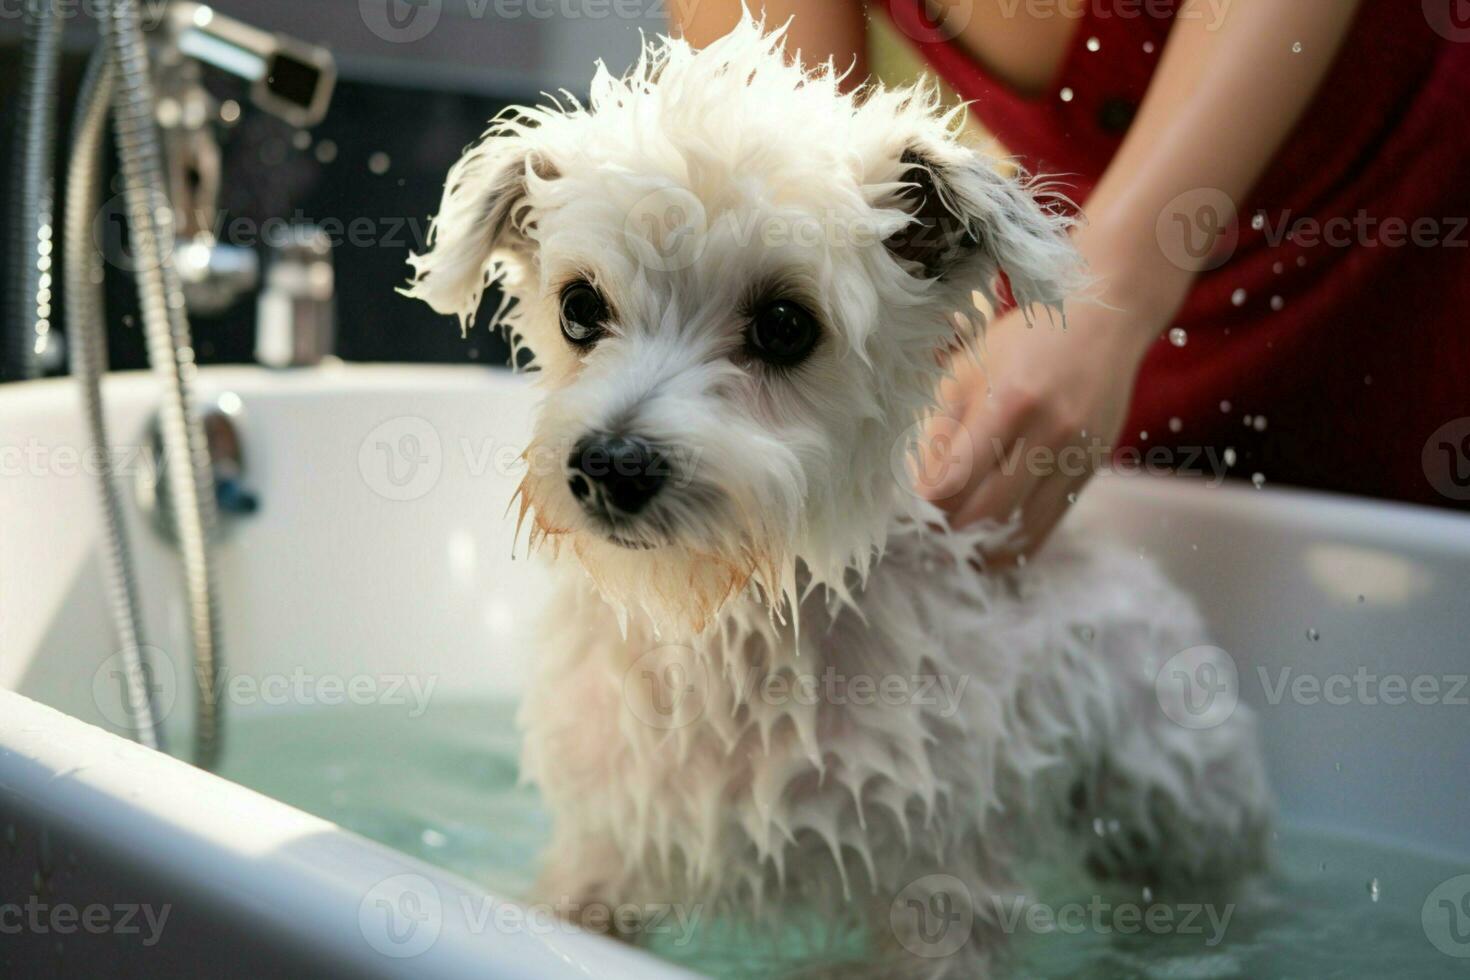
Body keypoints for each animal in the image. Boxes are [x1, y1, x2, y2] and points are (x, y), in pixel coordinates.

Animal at [405, 13, 1275, 975]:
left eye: (785, 326)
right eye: (579, 308)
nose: (612, 465)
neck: (738, 635)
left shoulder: (948, 900)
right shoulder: (603, 852)